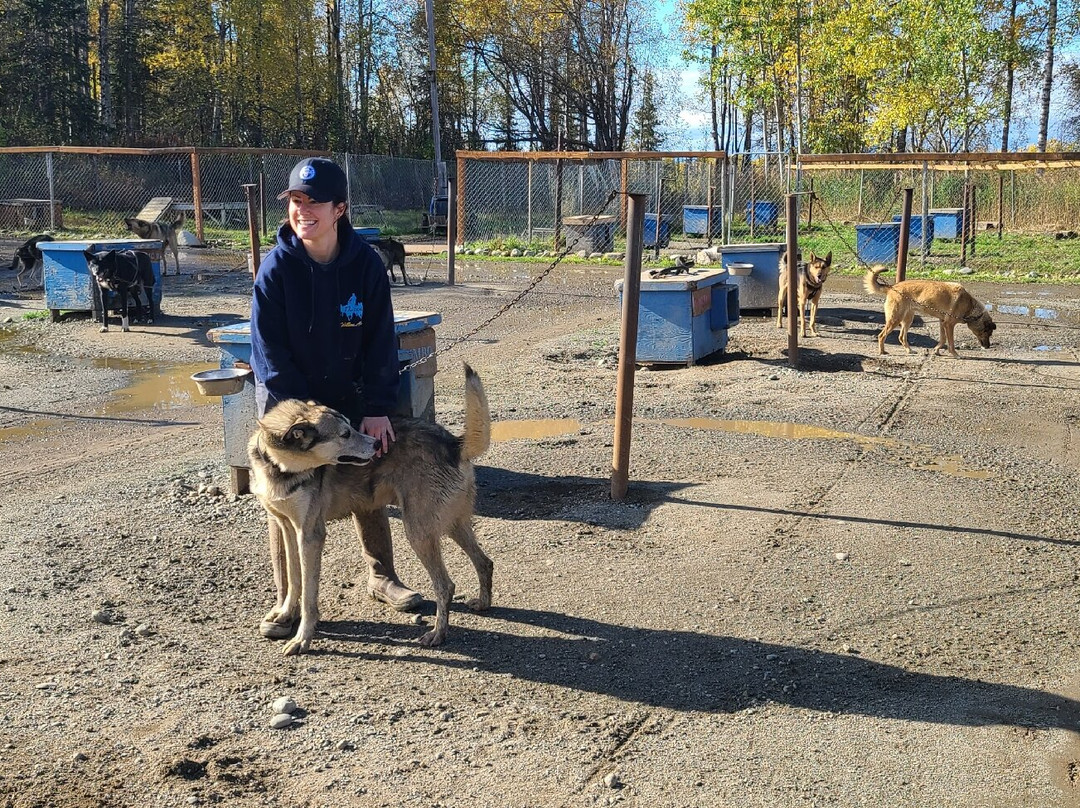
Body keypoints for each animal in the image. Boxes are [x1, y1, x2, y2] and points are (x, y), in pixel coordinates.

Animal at [248, 365, 494, 656]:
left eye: (351, 426)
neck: (280, 467)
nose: (377, 444)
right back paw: (483, 603)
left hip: (418, 532)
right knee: (485, 562)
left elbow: (309, 595)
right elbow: (294, 580)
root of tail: (454, 444)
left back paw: (437, 634)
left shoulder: (311, 536)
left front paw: (303, 638)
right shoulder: (287, 528)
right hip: (453, 525)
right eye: (345, 434)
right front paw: (286, 614)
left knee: (446, 585)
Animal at [864, 264, 997, 356]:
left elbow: (943, 340)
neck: (971, 307)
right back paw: (882, 351)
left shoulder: (943, 323)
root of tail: (892, 287)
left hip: (908, 319)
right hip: (895, 319)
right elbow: (951, 342)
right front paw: (955, 354)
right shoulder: (949, 325)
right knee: (881, 335)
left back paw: (909, 350)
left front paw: (937, 350)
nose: (988, 347)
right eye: (988, 333)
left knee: (901, 337)